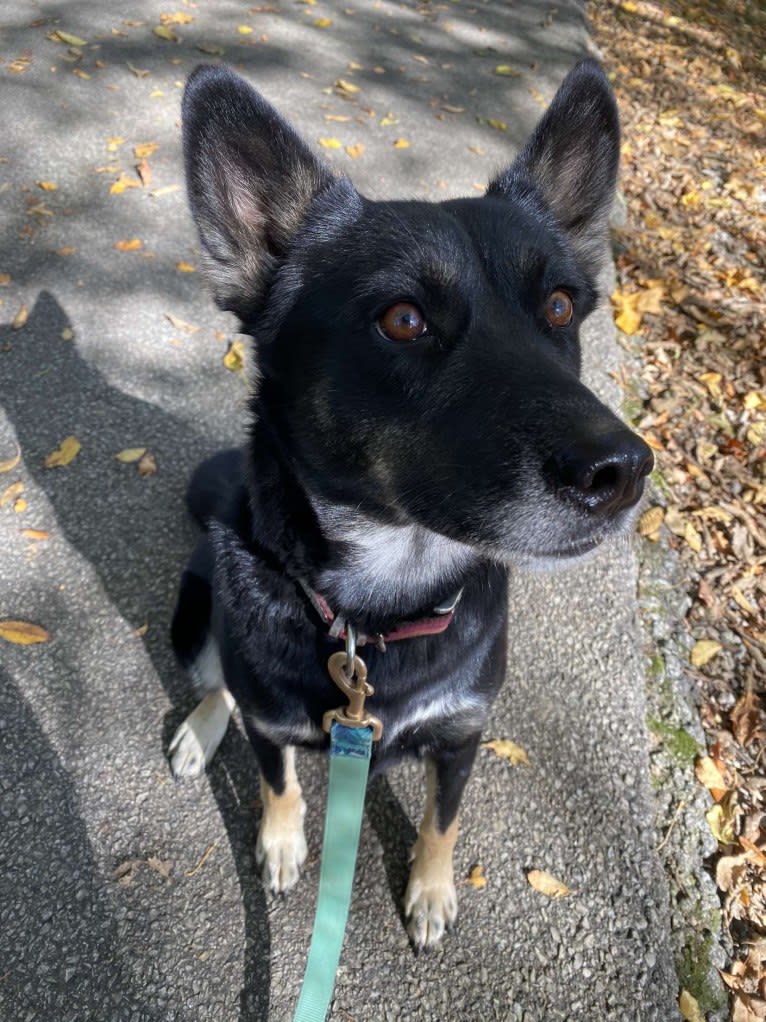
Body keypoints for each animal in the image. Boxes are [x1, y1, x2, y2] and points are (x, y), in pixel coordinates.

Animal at [169, 59, 653, 944]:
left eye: (561, 307)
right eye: (403, 319)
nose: (623, 471)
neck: (382, 612)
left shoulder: (462, 734)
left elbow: (441, 821)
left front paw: (429, 890)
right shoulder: (274, 723)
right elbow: (279, 779)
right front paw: (283, 843)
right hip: (197, 612)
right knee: (217, 680)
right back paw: (199, 729)